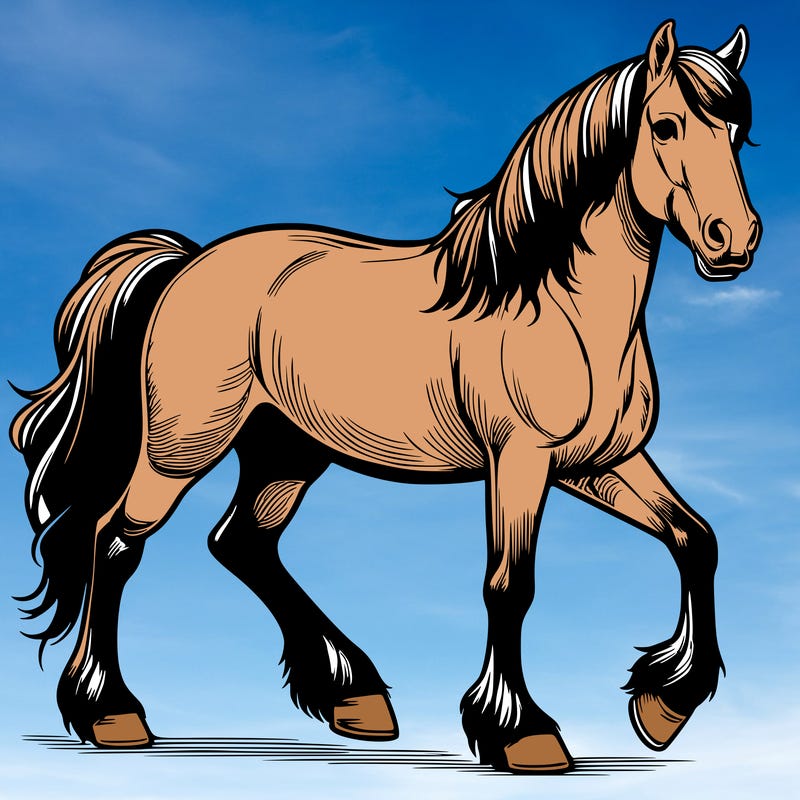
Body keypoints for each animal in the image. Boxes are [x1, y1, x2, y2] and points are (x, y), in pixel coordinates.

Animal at [10, 20, 760, 773]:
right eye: (664, 126)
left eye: (736, 131)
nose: (734, 240)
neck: (556, 305)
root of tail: (187, 264)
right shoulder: (520, 461)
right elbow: (509, 585)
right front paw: (522, 733)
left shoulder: (599, 463)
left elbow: (696, 539)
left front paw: (663, 706)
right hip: (182, 446)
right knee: (115, 541)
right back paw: (112, 714)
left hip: (286, 451)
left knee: (242, 543)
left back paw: (354, 696)